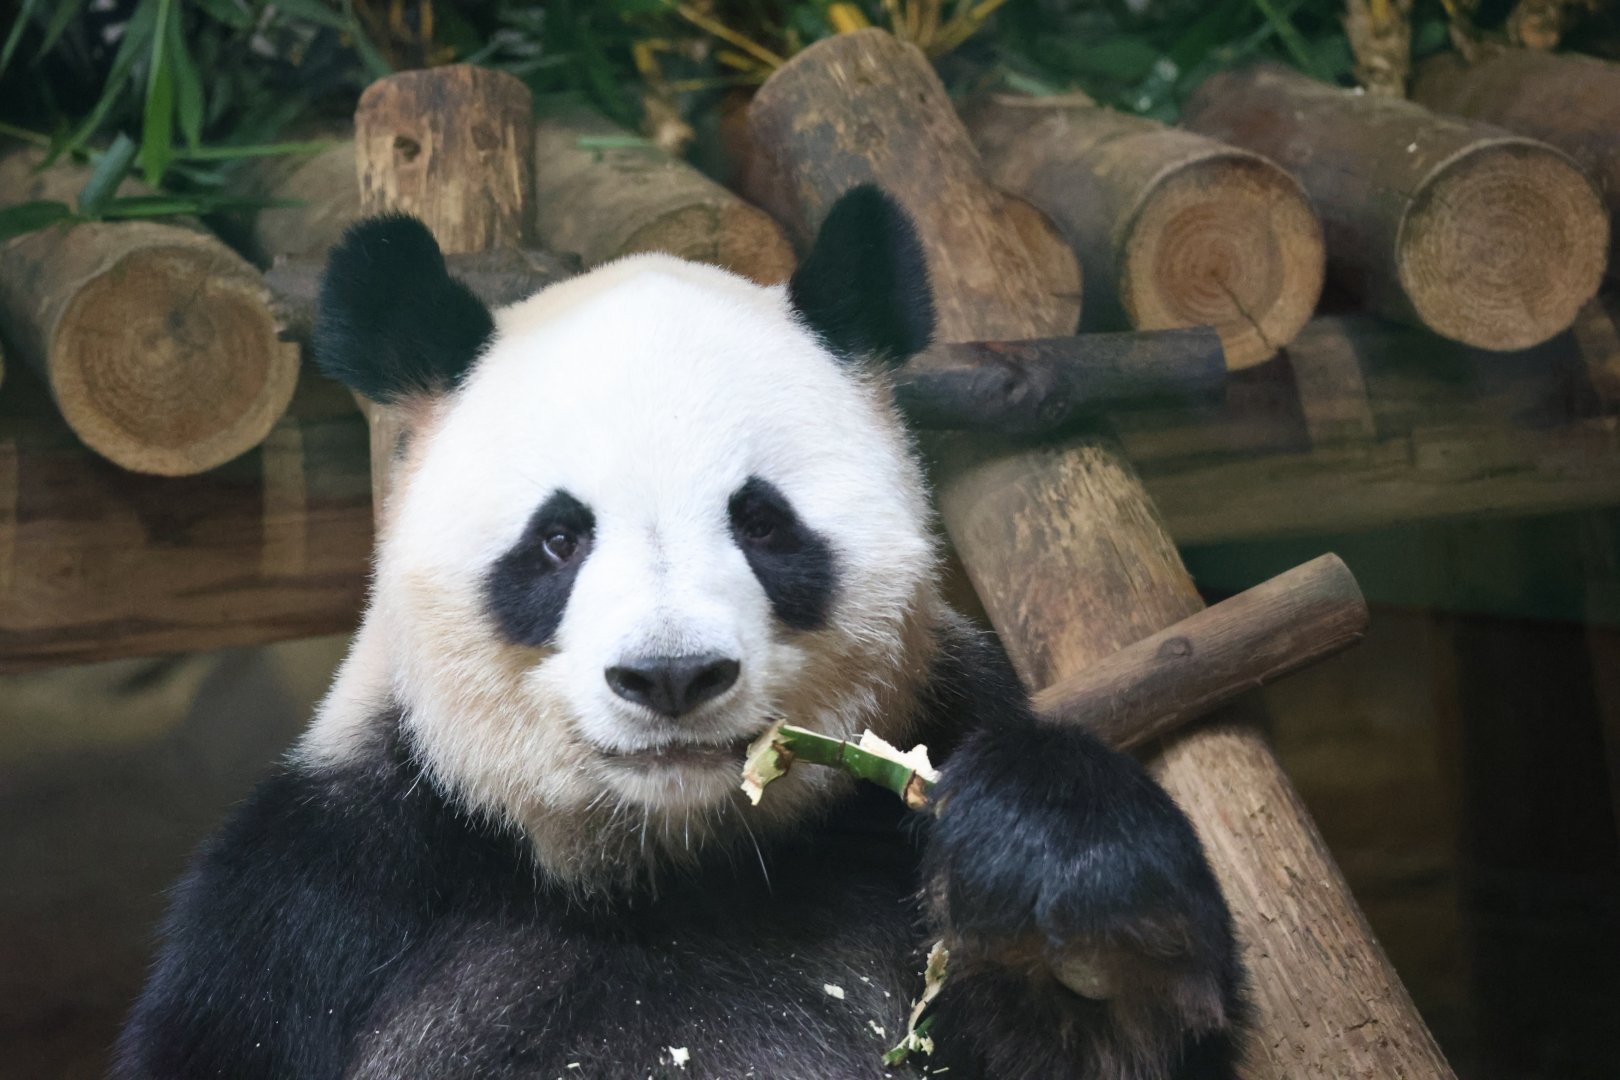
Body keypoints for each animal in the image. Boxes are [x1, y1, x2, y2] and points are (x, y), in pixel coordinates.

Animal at [117, 186, 1244, 1080]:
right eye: (559, 538)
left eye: (762, 522)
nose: (671, 676)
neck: (668, 861)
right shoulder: (323, 902)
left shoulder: (925, 754)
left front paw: (1064, 889)